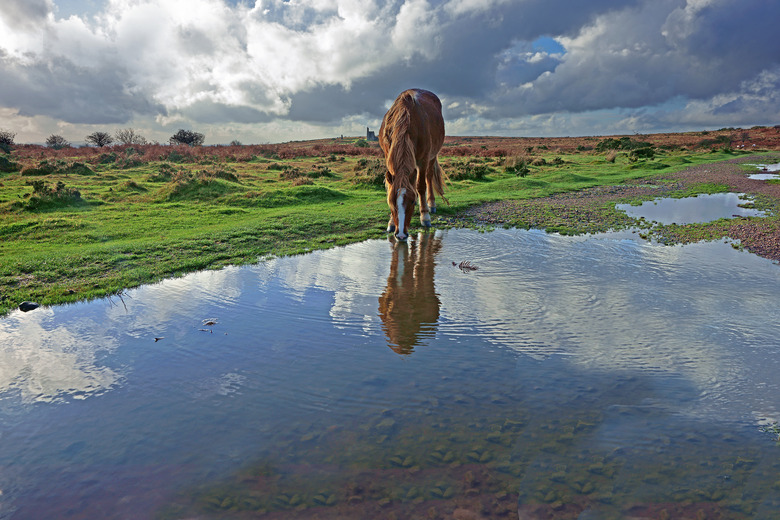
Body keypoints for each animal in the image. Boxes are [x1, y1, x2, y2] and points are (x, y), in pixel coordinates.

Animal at [378, 90, 444, 242]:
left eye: (412, 202)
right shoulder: (389, 156)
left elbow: (420, 186)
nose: (401, 235)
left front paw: (425, 216)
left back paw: (430, 204)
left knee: (428, 177)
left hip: (432, 156)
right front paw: (391, 222)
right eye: (391, 202)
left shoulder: (423, 159)